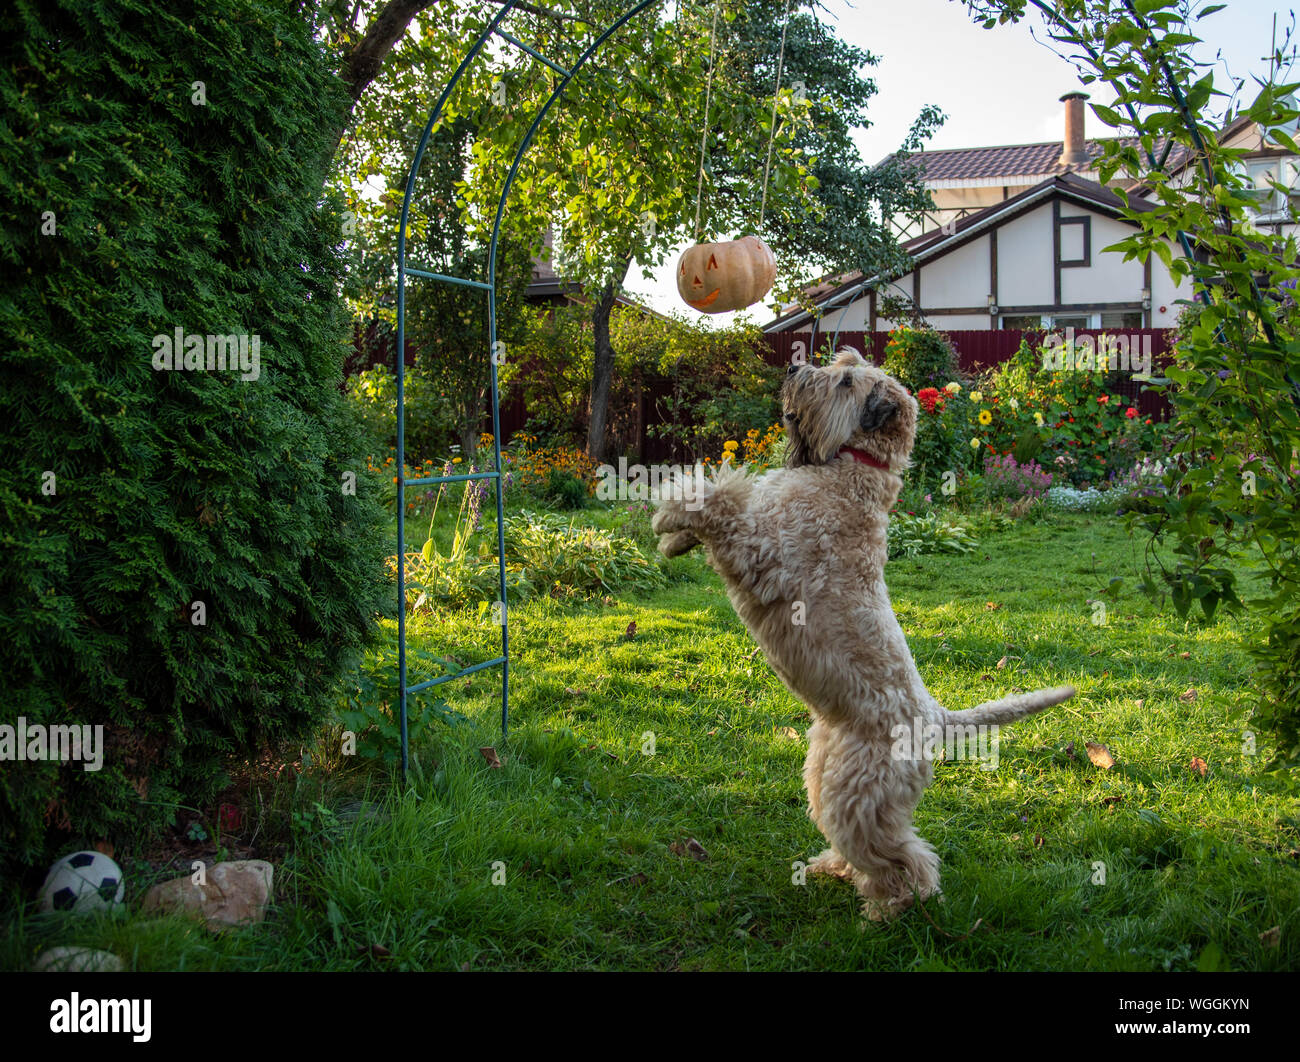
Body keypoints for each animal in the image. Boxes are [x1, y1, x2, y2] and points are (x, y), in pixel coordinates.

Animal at [650, 350, 1076, 915]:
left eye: (847, 379)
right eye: (841, 362)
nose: (794, 370)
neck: (854, 470)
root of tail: (937, 717)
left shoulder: (763, 547)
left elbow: (719, 496)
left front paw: (669, 514)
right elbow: (717, 509)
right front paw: (674, 541)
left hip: (859, 794)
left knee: (904, 857)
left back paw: (888, 908)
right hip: (825, 775)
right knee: (859, 842)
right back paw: (831, 869)